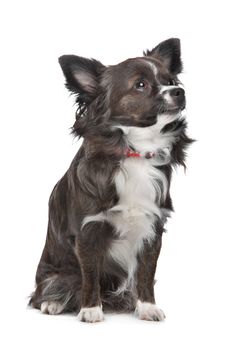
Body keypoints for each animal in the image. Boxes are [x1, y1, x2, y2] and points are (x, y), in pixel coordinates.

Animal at [29, 37, 193, 322]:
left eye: (171, 80)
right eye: (141, 85)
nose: (178, 91)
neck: (135, 150)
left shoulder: (152, 229)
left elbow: (146, 273)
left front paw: (147, 306)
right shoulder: (87, 231)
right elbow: (90, 274)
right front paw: (90, 310)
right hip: (56, 273)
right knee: (48, 290)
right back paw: (54, 303)